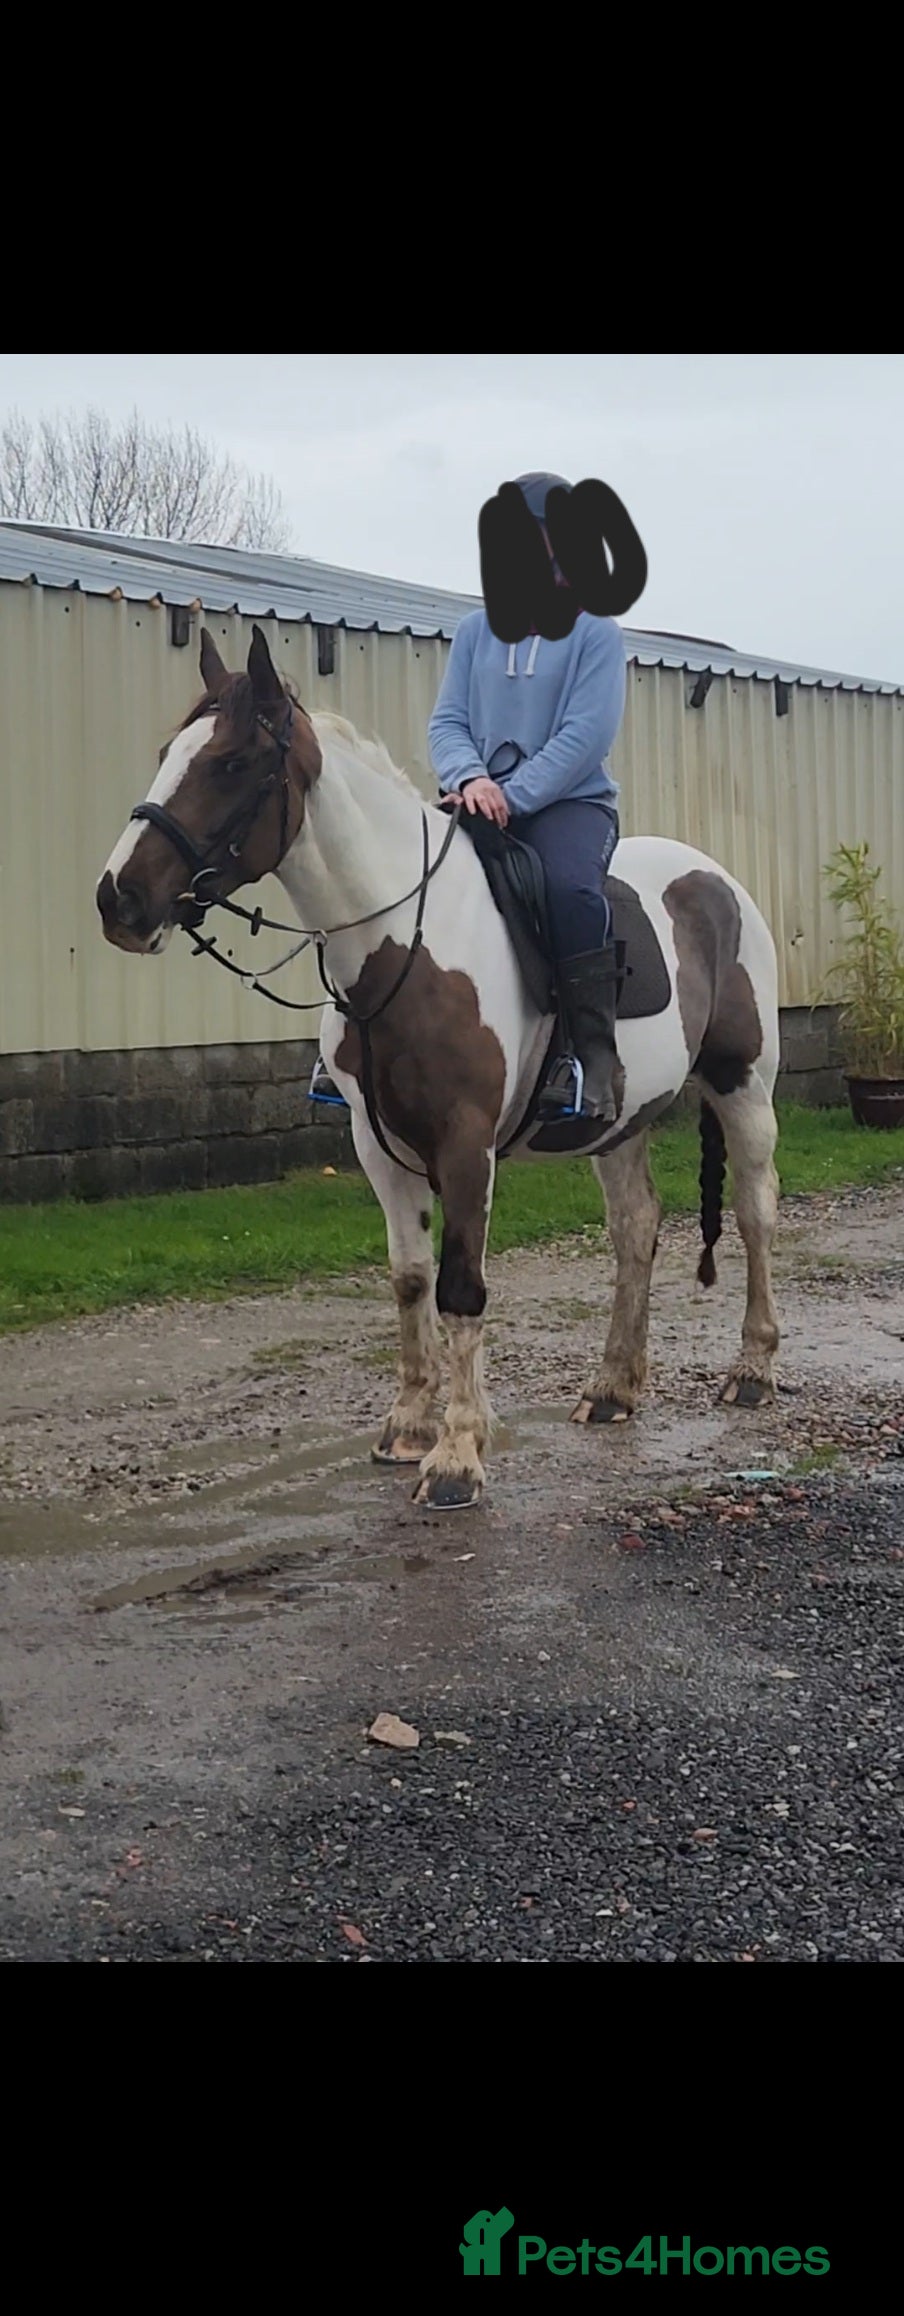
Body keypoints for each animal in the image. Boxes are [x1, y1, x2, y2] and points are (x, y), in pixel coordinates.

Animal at [97, 624, 782, 1511]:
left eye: (232, 764)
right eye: (165, 753)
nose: (119, 900)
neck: (402, 943)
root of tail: (718, 880)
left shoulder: (463, 1143)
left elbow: (462, 1287)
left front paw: (457, 1456)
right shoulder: (375, 1142)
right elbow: (410, 1278)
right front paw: (409, 1427)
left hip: (744, 1086)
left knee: (756, 1213)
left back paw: (753, 1370)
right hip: (619, 1121)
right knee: (636, 1229)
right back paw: (612, 1388)